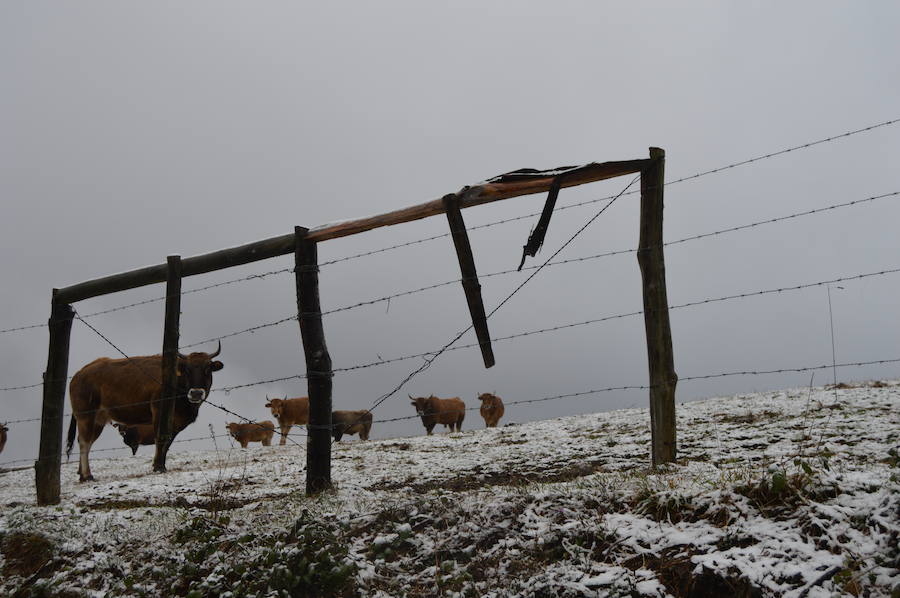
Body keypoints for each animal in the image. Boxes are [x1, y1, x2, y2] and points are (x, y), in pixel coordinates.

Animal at [65, 342, 223, 482]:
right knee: (84, 442)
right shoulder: (159, 410)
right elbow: (160, 438)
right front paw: (158, 467)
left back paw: (81, 473)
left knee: (87, 442)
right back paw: (87, 475)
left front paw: (161, 464)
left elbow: (167, 442)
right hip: (85, 415)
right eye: (187, 370)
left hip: (98, 420)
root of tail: (79, 374)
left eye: (208, 369)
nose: (196, 393)